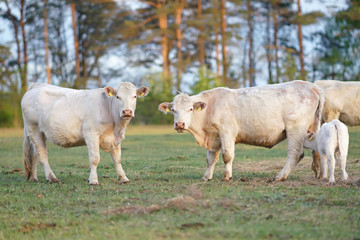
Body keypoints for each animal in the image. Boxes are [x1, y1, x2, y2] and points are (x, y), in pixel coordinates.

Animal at [21, 81, 149, 185]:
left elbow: (117, 159)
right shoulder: (91, 134)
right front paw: (93, 180)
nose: (127, 111)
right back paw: (52, 178)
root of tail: (36, 86)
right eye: (118, 97)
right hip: (34, 130)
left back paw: (33, 177)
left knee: (34, 154)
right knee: (42, 155)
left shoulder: (115, 139)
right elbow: (95, 159)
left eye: (134, 96)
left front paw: (123, 178)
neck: (116, 126)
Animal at [159, 80, 324, 182]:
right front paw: (207, 177)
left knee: (295, 153)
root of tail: (310, 86)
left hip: (295, 129)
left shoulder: (226, 132)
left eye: (190, 109)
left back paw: (280, 176)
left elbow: (227, 156)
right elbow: (210, 159)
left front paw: (227, 176)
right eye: (173, 110)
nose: (180, 124)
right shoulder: (214, 137)